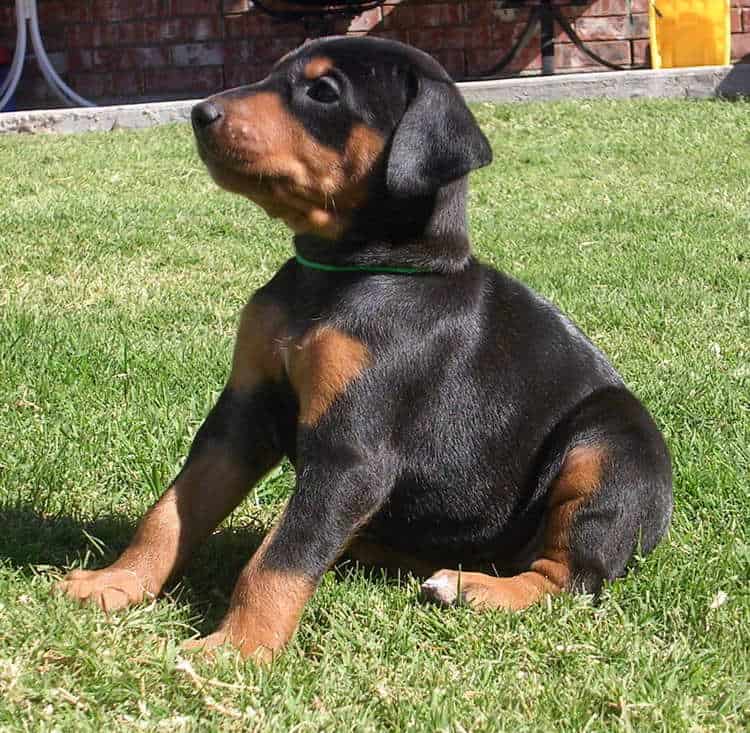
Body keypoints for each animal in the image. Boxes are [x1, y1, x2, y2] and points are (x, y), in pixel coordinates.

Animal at [55, 37, 672, 660]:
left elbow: (281, 557)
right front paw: (117, 582)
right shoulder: (239, 416)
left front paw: (238, 648)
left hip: (608, 447)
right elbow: (173, 511)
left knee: (568, 577)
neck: (340, 276)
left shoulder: (352, 451)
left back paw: (474, 589)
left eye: (323, 91)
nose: (199, 113)